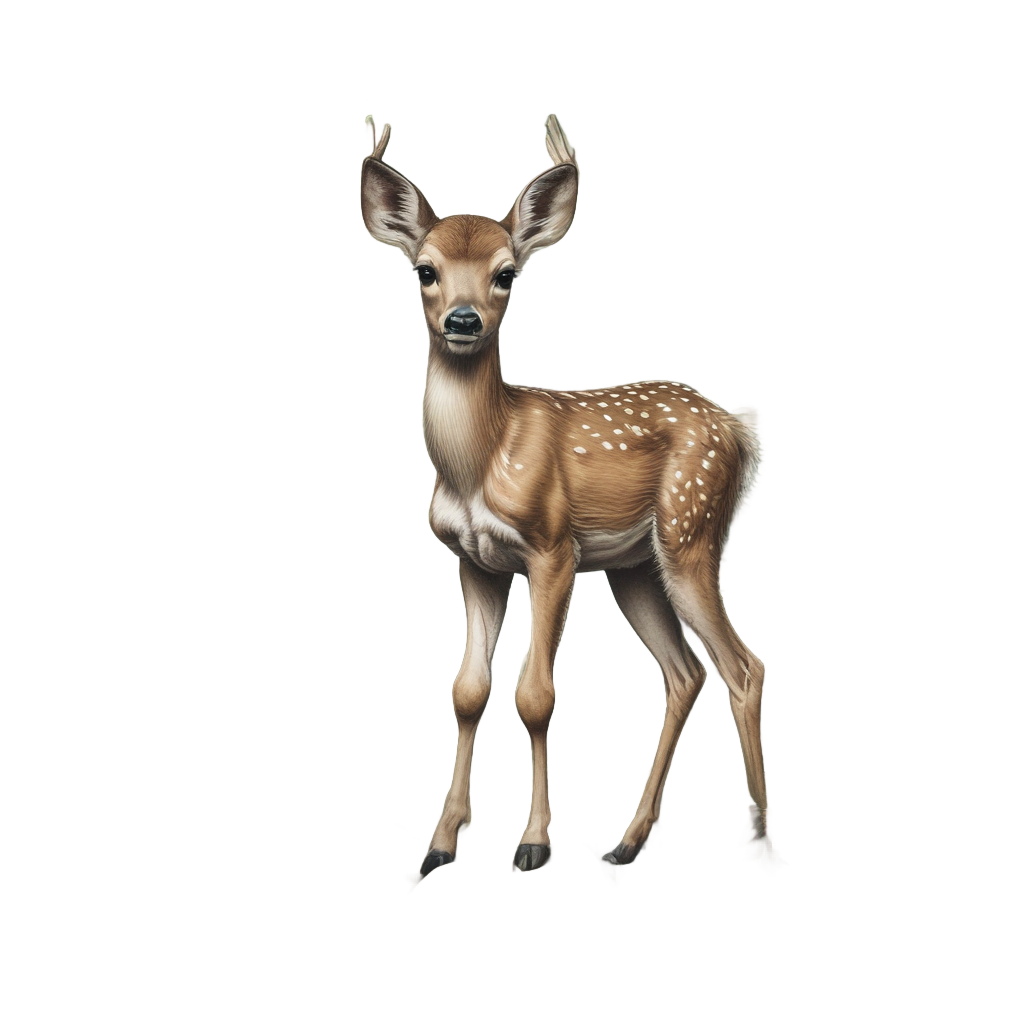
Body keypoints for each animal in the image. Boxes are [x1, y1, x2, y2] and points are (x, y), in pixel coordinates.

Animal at [360, 115, 766, 879]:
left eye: (507, 273)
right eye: (424, 269)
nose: (463, 320)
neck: (480, 462)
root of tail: (735, 430)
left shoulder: (553, 547)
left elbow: (536, 696)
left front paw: (535, 844)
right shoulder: (473, 561)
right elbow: (466, 695)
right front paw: (439, 846)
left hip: (689, 529)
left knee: (742, 665)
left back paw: (762, 829)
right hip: (632, 568)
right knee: (684, 676)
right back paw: (628, 841)